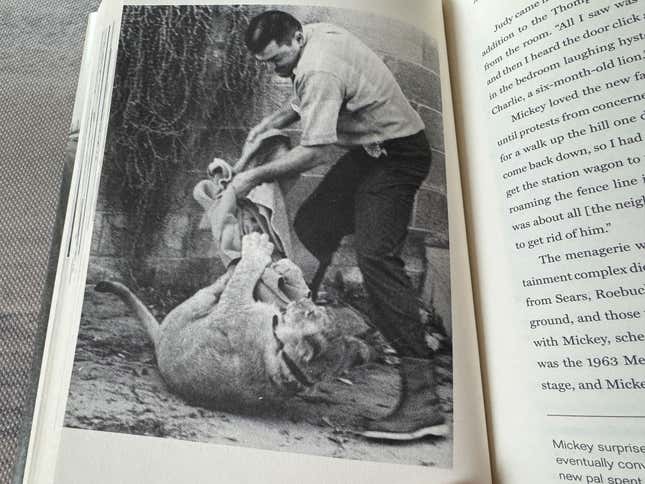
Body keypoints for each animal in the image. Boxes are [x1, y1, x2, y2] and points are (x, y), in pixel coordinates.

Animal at [93, 233, 370, 412]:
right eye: (314, 311)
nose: (301, 304)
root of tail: (159, 340)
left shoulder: (233, 307)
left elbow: (245, 274)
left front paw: (256, 247)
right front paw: (289, 270)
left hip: (194, 303)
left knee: (218, 285)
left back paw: (231, 268)